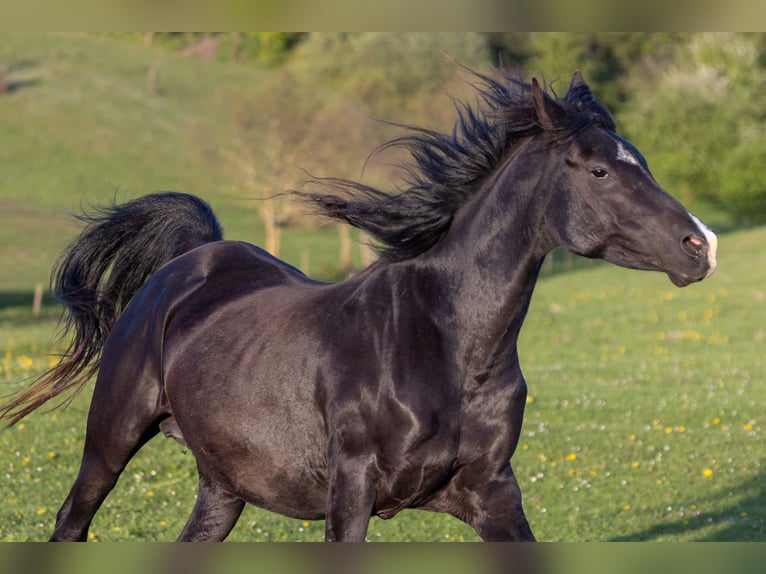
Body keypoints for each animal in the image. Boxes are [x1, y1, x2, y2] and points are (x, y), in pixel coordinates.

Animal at [1, 70, 720, 544]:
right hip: (111, 439)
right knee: (71, 522)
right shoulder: (350, 492)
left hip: (223, 487)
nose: (703, 246)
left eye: (642, 161)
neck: (441, 347)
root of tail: (191, 260)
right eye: (597, 170)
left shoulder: (493, 491)